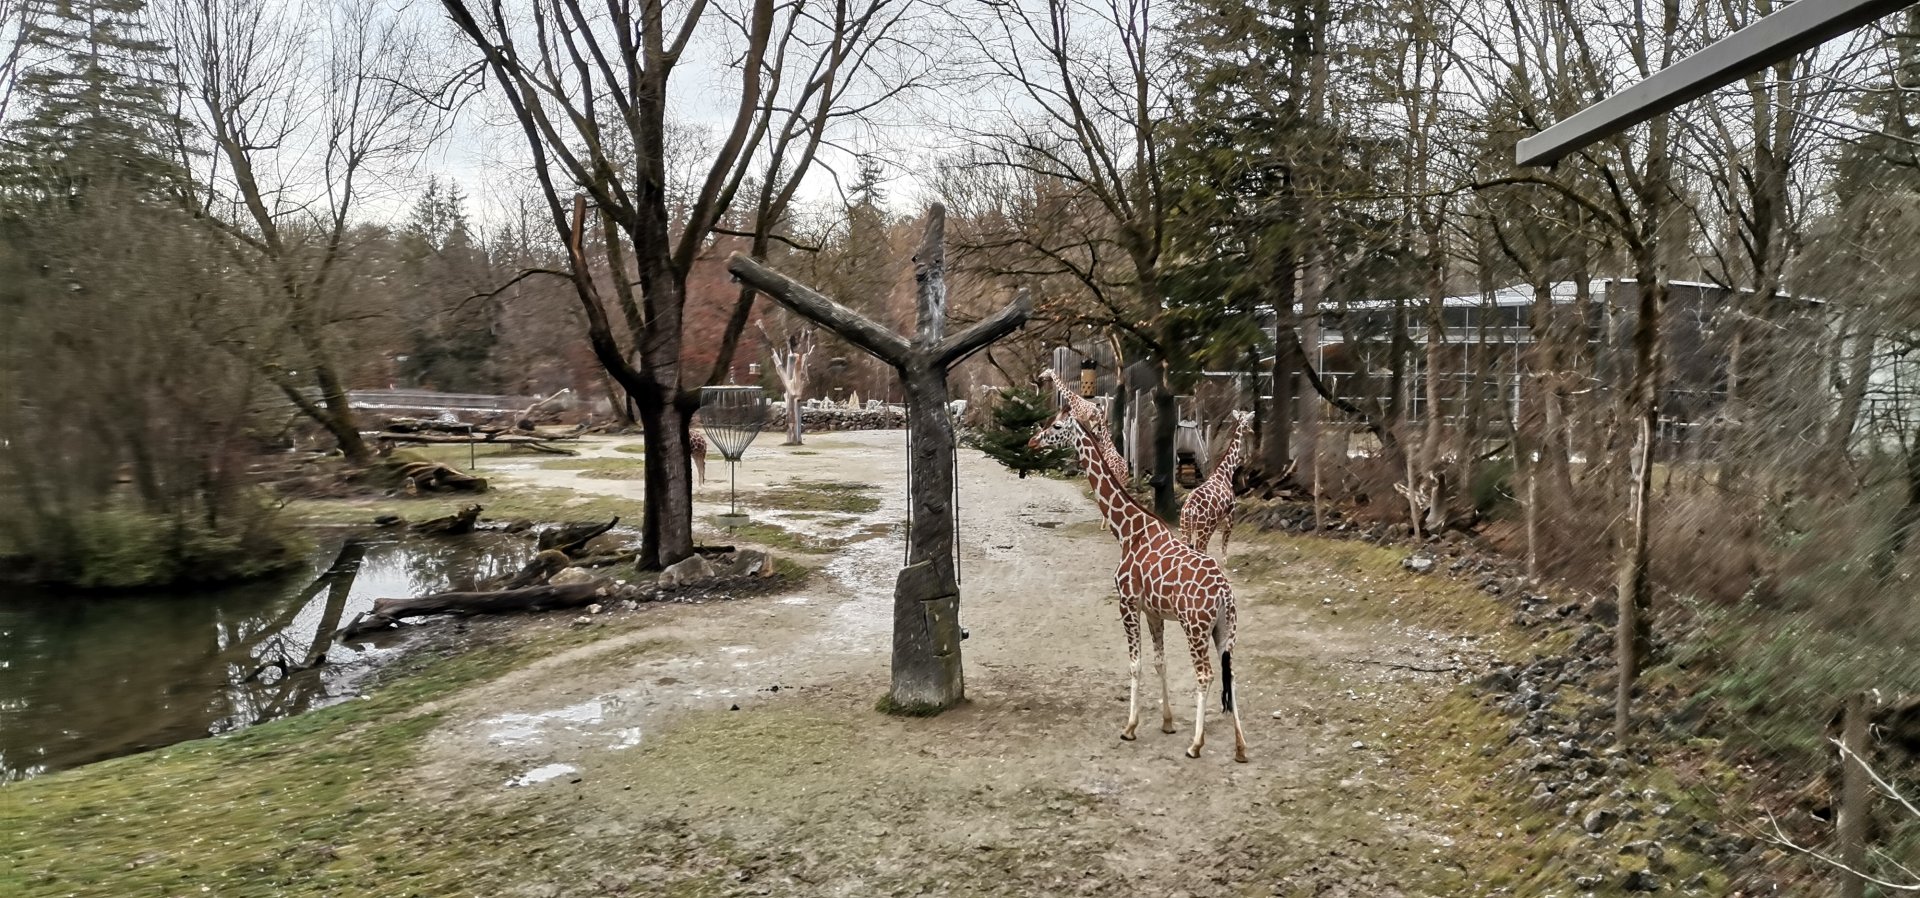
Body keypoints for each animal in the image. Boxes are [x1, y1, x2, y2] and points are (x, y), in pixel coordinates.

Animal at [1179, 409, 1255, 557]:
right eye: (1247, 422)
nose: (1252, 431)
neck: (1225, 472)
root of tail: (1190, 509)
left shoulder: (1216, 521)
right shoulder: (1231, 514)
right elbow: (1224, 550)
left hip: (1185, 527)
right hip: (1203, 529)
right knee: (1199, 549)